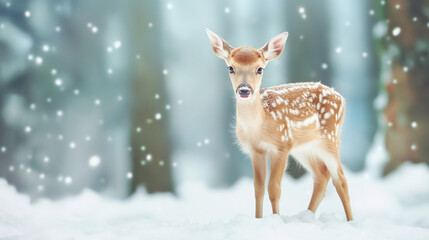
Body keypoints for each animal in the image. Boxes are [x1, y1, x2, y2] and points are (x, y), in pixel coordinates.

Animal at [206, 29, 352, 220]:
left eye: (259, 69)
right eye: (230, 67)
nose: (244, 90)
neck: (259, 127)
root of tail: (341, 98)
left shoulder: (282, 145)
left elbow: (274, 189)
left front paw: (276, 218)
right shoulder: (256, 150)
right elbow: (258, 189)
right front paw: (258, 219)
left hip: (330, 136)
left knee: (340, 178)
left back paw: (350, 221)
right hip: (304, 148)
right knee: (321, 175)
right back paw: (306, 216)